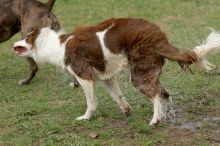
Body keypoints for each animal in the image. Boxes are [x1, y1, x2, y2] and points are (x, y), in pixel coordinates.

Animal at [12, 17, 217, 125]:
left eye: (26, 38)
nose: (13, 44)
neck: (57, 46)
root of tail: (157, 35)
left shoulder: (84, 76)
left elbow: (91, 102)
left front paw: (85, 117)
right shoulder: (107, 77)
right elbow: (116, 96)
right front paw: (126, 109)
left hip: (139, 75)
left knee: (156, 94)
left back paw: (155, 119)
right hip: (146, 72)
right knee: (163, 94)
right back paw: (162, 116)